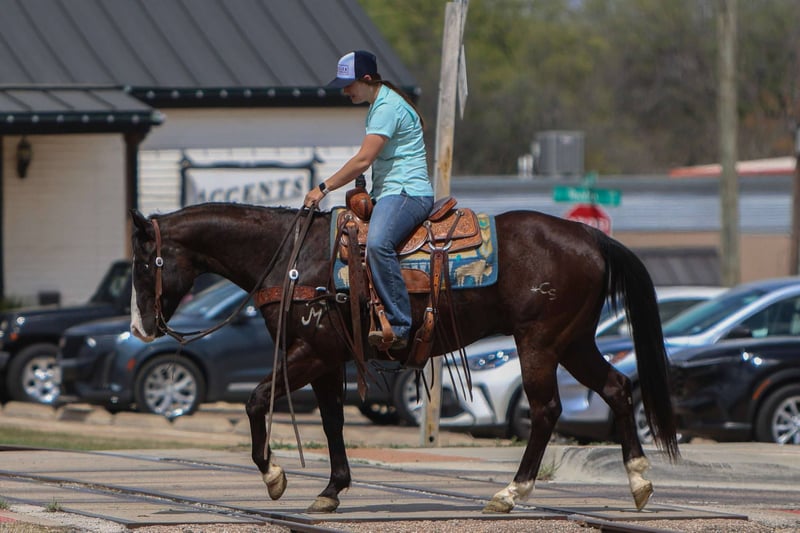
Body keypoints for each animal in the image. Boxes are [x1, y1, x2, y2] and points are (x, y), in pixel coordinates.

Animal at [129, 202, 679, 514]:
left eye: (142, 263)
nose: (139, 329)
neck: (293, 259)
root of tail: (592, 238)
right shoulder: (327, 359)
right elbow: (332, 421)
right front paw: (331, 490)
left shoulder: (311, 352)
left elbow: (257, 400)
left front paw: (274, 477)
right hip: (575, 341)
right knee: (616, 388)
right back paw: (639, 482)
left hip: (540, 343)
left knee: (546, 411)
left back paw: (510, 493)